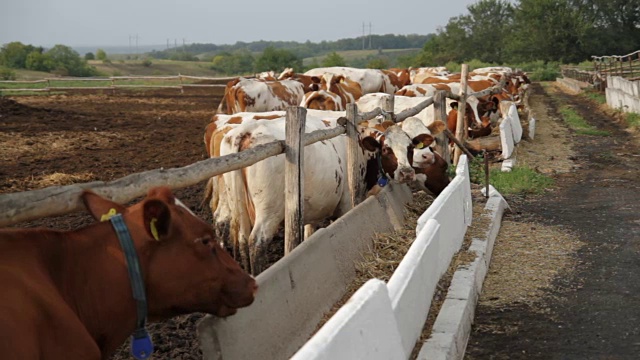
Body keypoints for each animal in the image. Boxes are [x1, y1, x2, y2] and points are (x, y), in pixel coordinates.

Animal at [218, 112, 422, 272]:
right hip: (269, 213)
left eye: (410, 148)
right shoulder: (346, 204)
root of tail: (248, 129)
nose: (407, 172)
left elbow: (309, 235)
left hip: (239, 208)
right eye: (387, 149)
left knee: (243, 241)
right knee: (256, 243)